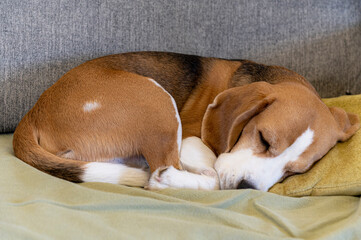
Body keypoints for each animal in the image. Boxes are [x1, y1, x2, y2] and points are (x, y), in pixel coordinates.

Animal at [12, 52, 358, 191]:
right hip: (157, 102)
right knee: (162, 174)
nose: (246, 188)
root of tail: (34, 112)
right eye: (263, 138)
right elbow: (213, 170)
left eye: (294, 171)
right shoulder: (191, 139)